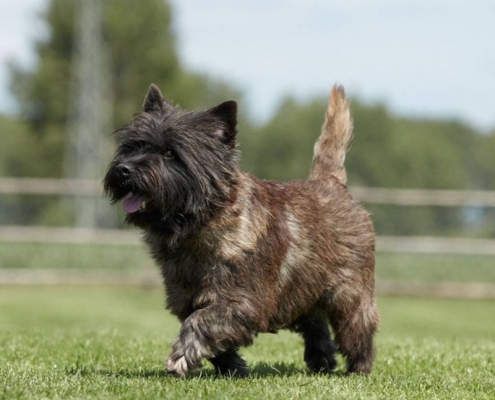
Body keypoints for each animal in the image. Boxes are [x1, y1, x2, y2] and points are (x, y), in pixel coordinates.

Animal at [101, 83, 380, 376]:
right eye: (132, 147)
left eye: (169, 153)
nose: (124, 169)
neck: (199, 226)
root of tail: (331, 183)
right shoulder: (185, 297)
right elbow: (207, 330)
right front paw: (231, 365)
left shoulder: (243, 302)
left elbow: (201, 322)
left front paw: (181, 358)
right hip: (303, 287)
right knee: (314, 322)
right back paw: (321, 359)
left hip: (350, 294)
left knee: (357, 328)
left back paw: (357, 368)